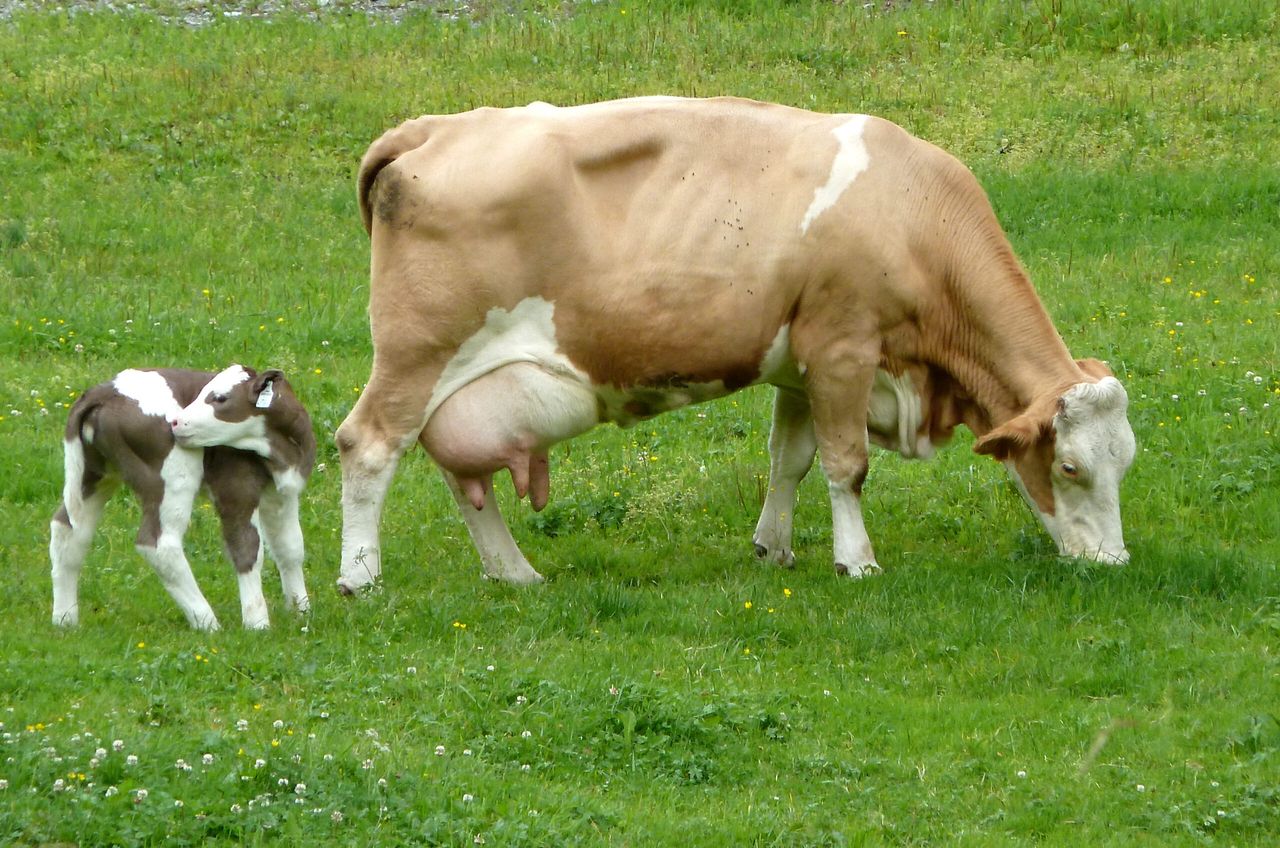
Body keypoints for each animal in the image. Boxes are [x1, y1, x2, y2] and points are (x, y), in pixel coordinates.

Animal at [50, 366, 315, 630]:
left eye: (220, 398)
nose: (177, 421)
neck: (283, 451)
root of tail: (103, 392)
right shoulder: (235, 489)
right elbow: (247, 549)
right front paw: (257, 623)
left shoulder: (282, 491)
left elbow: (290, 547)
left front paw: (300, 611)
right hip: (173, 477)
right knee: (158, 543)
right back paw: (208, 623)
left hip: (93, 473)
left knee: (68, 530)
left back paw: (65, 620)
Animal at [334, 95, 1136, 593]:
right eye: (1068, 467)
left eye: (1124, 461)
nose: (1113, 561)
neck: (912, 214)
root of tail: (434, 128)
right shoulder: (844, 347)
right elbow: (847, 466)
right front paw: (857, 562)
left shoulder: (800, 363)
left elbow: (791, 460)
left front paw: (773, 546)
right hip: (417, 353)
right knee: (368, 445)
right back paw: (360, 578)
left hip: (461, 381)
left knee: (456, 469)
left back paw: (512, 571)